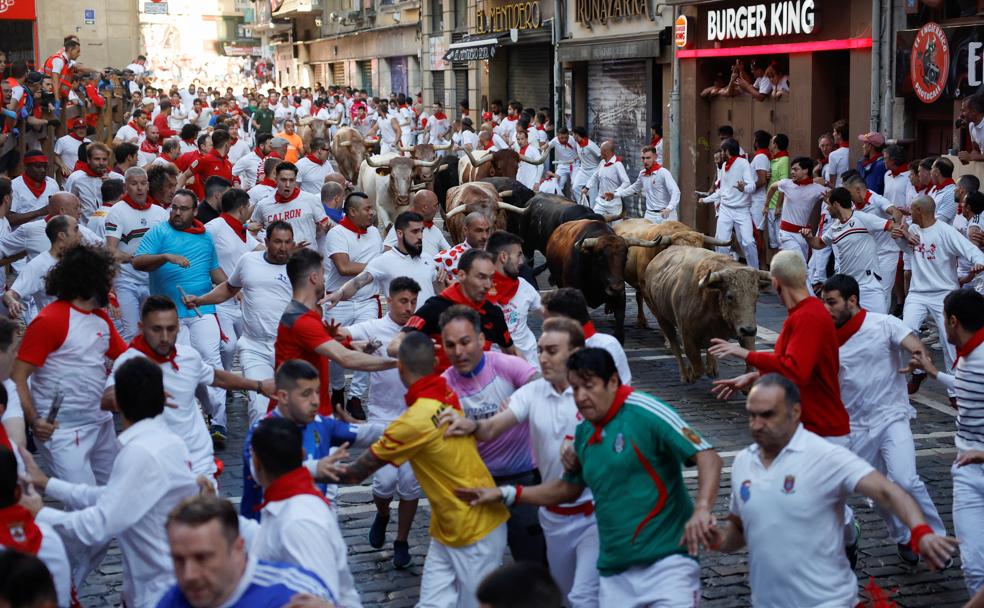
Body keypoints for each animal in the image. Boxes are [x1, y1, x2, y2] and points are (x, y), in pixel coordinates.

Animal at [640, 246, 772, 380]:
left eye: (757, 295)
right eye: (729, 296)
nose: (749, 330)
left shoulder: (744, 330)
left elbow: (750, 359)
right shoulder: (687, 336)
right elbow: (697, 368)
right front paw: (690, 373)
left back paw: (711, 368)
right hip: (662, 318)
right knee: (674, 344)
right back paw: (685, 374)